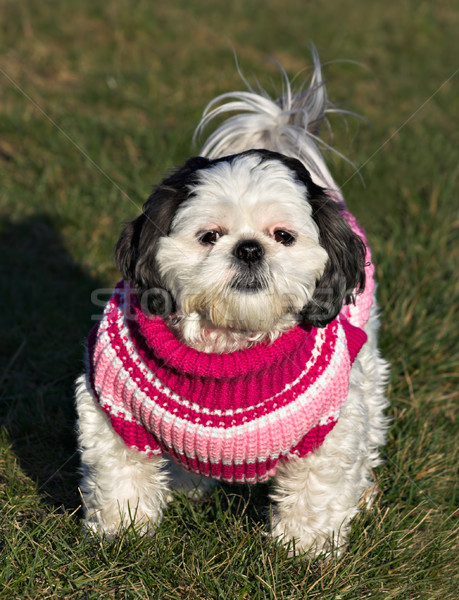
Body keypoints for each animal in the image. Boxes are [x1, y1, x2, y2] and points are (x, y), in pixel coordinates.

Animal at [75, 48, 388, 556]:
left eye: (283, 236)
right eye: (209, 236)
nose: (248, 248)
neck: (228, 345)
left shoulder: (330, 428)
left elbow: (316, 491)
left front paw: (304, 550)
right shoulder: (111, 409)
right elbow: (120, 477)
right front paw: (123, 535)